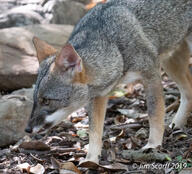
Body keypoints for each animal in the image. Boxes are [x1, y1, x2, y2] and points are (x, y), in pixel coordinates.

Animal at [24, 0, 192, 164]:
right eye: (35, 100)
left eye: (46, 101)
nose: (27, 129)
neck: (115, 48)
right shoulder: (99, 96)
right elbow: (94, 131)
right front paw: (91, 159)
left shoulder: (151, 74)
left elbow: (154, 113)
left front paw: (153, 144)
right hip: (170, 62)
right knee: (188, 91)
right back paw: (176, 125)